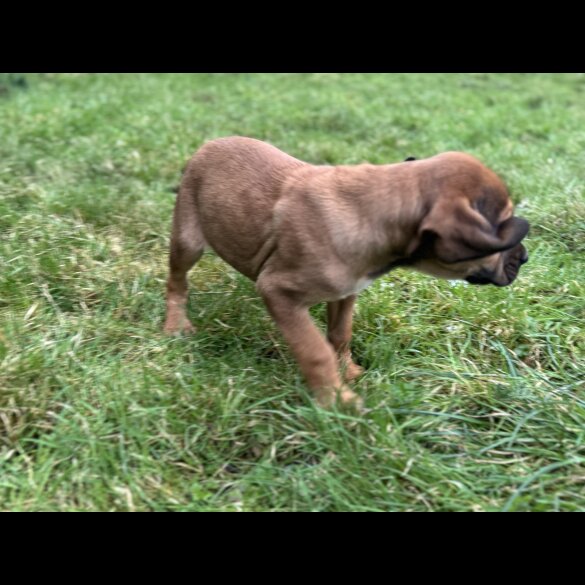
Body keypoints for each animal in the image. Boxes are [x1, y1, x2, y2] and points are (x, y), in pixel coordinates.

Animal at [162, 139, 528, 408]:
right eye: (503, 235)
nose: (524, 258)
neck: (372, 211)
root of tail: (208, 144)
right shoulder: (278, 292)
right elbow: (314, 351)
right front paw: (335, 400)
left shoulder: (347, 292)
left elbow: (340, 334)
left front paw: (347, 370)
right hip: (188, 241)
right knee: (177, 282)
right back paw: (175, 324)